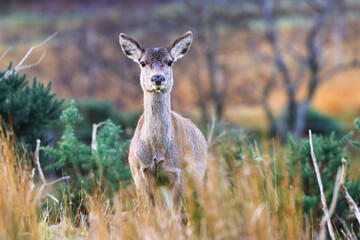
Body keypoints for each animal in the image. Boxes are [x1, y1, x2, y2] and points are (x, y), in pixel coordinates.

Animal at [119, 31, 205, 224]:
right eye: (142, 62)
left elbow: (178, 216)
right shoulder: (141, 173)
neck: (158, 151)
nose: (157, 78)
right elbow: (155, 214)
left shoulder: (179, 173)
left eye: (170, 61)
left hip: (198, 176)